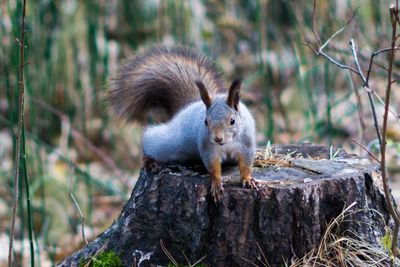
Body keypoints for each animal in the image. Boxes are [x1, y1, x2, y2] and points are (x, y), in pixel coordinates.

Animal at [107, 46, 256, 202]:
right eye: (206, 122)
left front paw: (247, 179)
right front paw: (216, 183)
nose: (217, 138)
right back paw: (149, 161)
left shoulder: (246, 145)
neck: (227, 143)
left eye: (232, 121)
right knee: (150, 141)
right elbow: (213, 167)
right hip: (170, 142)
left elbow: (245, 164)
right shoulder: (207, 147)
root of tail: (187, 107)